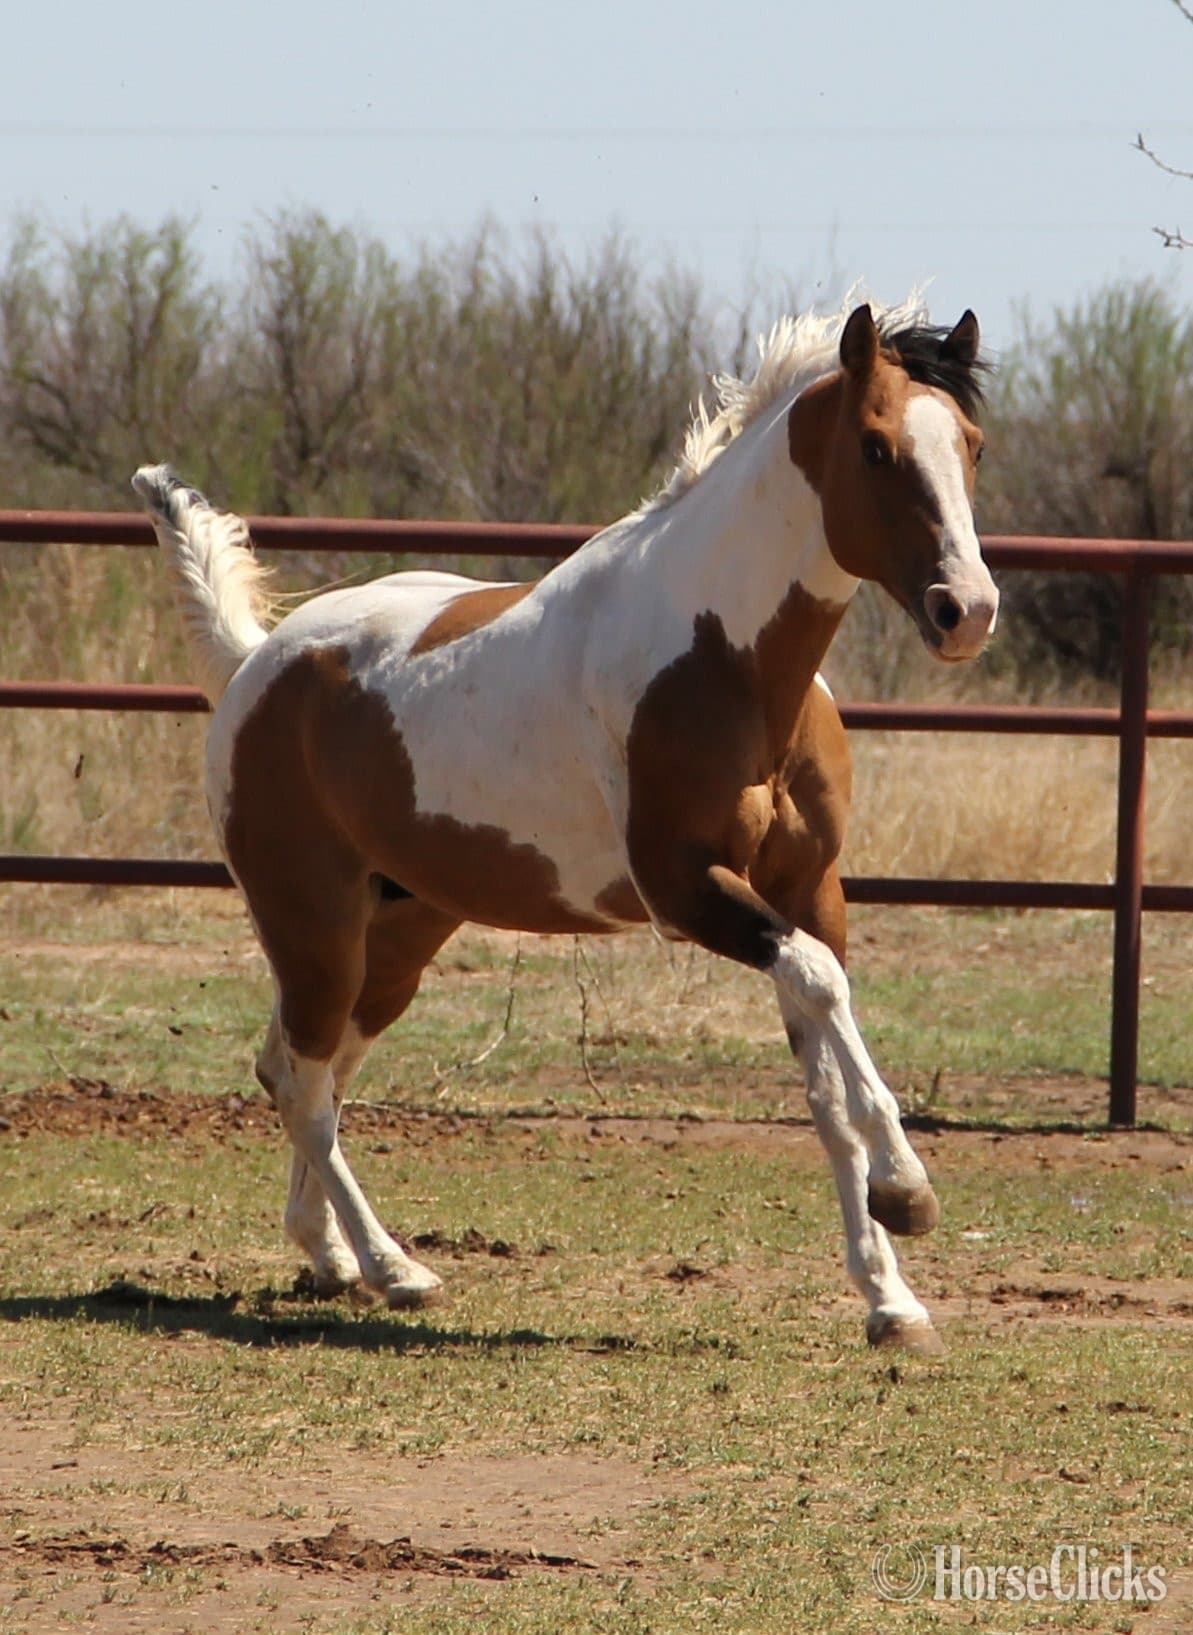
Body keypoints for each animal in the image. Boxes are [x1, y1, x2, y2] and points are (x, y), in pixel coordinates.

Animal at [134, 294, 997, 1354]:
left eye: (970, 445)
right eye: (876, 448)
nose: (966, 610)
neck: (725, 661)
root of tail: (257, 663)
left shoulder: (808, 889)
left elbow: (826, 1081)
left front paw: (890, 1299)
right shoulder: (688, 892)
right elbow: (823, 989)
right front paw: (907, 1190)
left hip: (401, 931)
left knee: (307, 1068)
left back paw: (330, 1256)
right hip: (314, 923)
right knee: (301, 1080)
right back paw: (396, 1270)